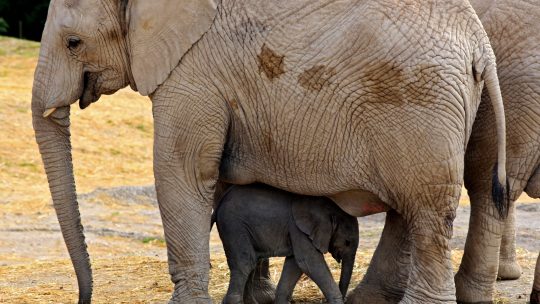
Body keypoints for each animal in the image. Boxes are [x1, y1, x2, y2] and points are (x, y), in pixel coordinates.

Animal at [214, 183, 358, 304]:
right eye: (347, 242)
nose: (345, 298)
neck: (328, 208)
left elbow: (295, 264)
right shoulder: (298, 229)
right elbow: (309, 262)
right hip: (233, 226)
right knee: (245, 263)